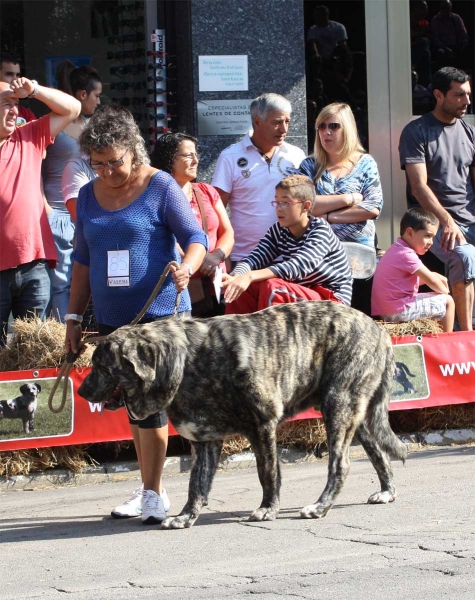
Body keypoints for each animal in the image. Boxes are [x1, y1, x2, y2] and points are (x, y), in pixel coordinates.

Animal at [80, 302, 408, 528]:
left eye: (100, 365)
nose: (81, 391)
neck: (187, 361)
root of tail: (379, 330)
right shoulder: (204, 442)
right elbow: (196, 485)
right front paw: (186, 517)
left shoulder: (262, 426)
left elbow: (268, 473)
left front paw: (268, 509)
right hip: (356, 416)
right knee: (379, 453)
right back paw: (387, 492)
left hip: (338, 407)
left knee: (341, 465)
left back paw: (319, 507)